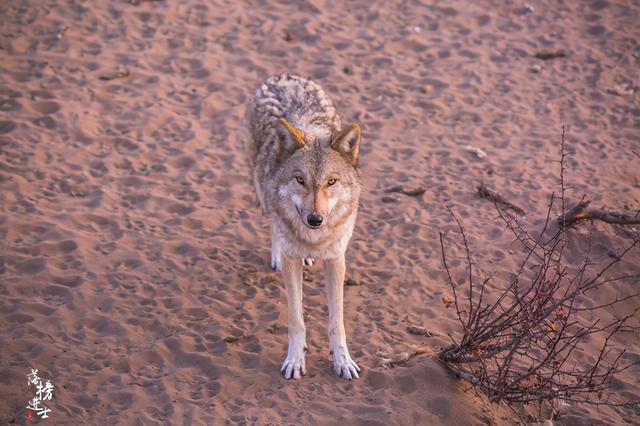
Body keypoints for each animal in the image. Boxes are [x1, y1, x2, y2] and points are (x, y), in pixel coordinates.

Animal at [246, 73, 360, 380]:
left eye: (331, 181)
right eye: (300, 179)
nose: (315, 219)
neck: (314, 240)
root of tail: (282, 76)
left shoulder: (336, 260)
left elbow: (337, 322)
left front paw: (343, 360)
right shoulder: (292, 263)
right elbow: (296, 321)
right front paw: (295, 361)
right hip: (261, 190)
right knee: (273, 224)